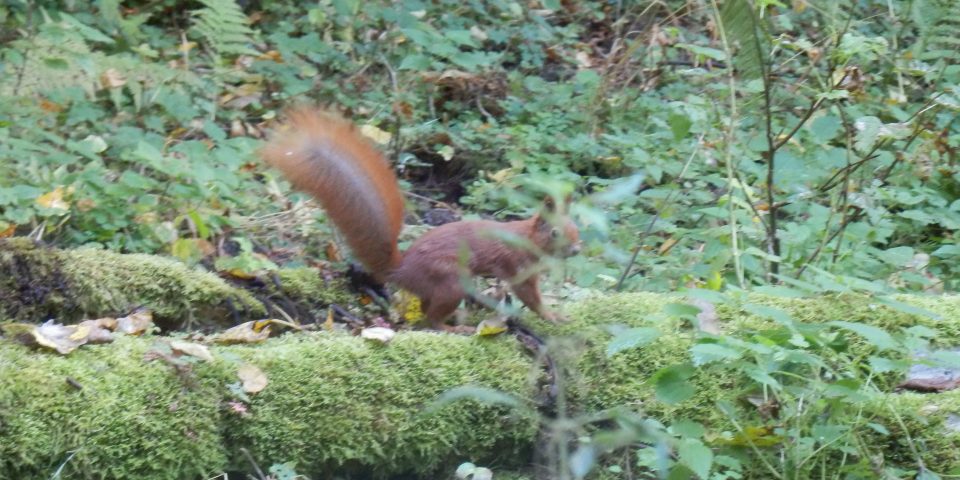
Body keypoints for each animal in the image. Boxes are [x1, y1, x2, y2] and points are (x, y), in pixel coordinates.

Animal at [258, 109, 580, 328]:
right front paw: (552, 315)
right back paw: (456, 328)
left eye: (577, 227)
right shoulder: (518, 263)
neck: (527, 236)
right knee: (431, 320)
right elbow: (528, 295)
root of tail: (401, 271)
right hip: (450, 280)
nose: (577, 249)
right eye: (555, 232)